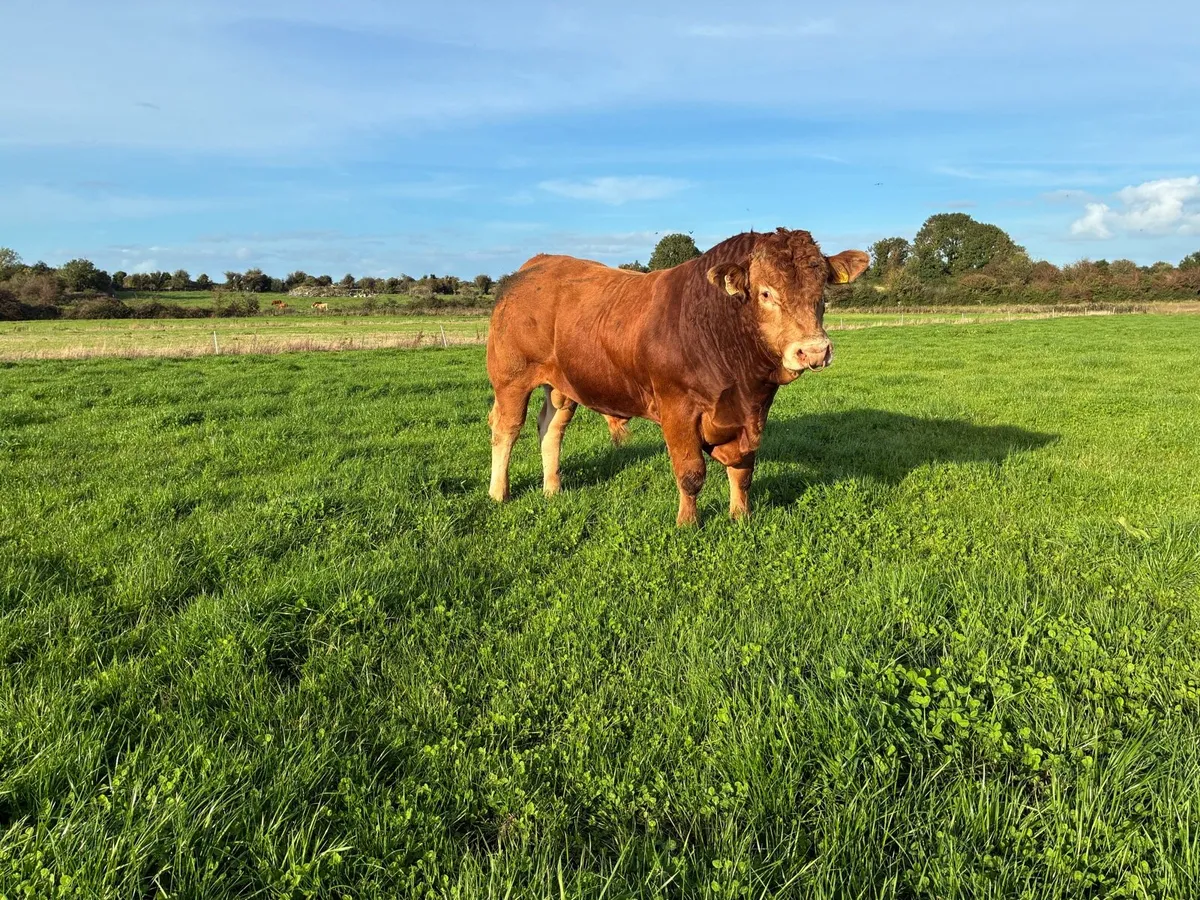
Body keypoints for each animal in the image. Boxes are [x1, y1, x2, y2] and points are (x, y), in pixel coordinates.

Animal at [486, 228, 868, 525]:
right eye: (766, 292)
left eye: (822, 293)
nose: (814, 351)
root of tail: (539, 263)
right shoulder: (677, 409)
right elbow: (691, 473)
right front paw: (688, 523)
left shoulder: (753, 414)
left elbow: (743, 470)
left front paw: (740, 515)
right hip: (510, 379)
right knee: (506, 430)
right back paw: (498, 493)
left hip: (562, 384)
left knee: (551, 428)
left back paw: (552, 489)